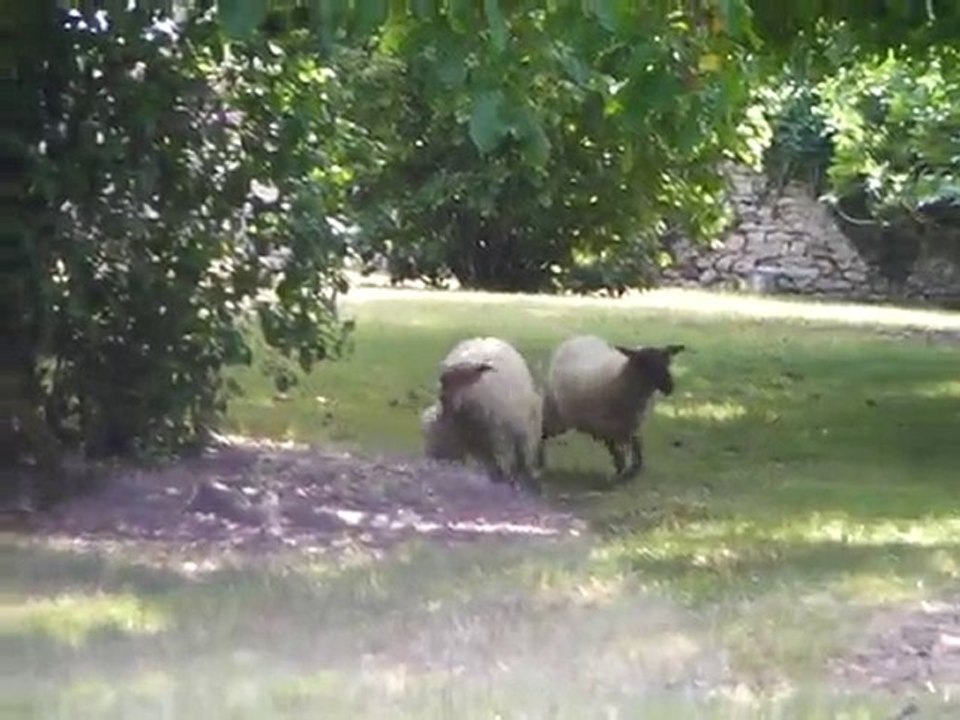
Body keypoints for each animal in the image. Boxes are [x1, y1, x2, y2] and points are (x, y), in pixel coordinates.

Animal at [539, 335, 685, 482]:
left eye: (667, 361)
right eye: (643, 363)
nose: (669, 386)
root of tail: (578, 338)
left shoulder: (632, 425)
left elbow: (636, 445)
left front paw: (634, 468)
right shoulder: (608, 428)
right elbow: (617, 452)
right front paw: (620, 472)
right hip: (555, 414)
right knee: (542, 432)